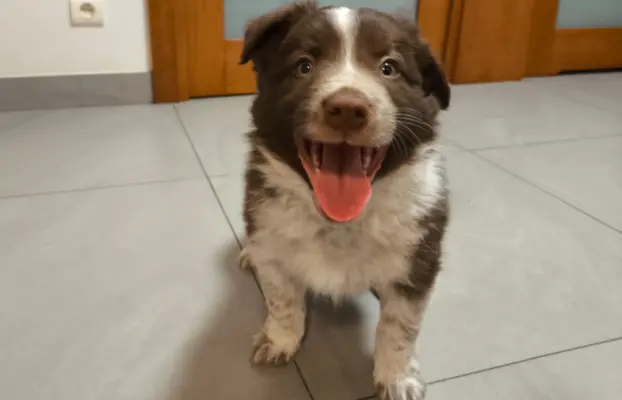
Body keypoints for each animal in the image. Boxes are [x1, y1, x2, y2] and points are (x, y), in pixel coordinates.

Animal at [239, 1, 448, 398]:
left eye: (389, 67)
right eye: (304, 65)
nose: (348, 108)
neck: (340, 222)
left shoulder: (417, 259)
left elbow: (401, 326)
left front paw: (397, 376)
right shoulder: (272, 241)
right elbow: (281, 299)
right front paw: (280, 339)